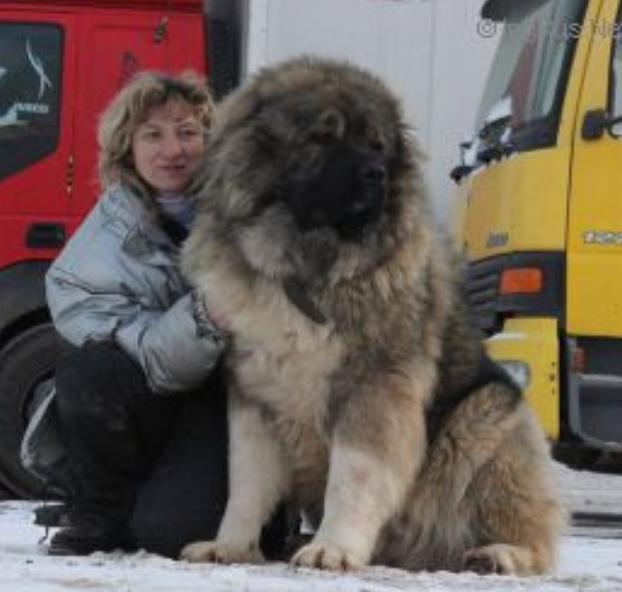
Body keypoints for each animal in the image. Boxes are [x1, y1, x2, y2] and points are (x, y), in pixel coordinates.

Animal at [179, 55, 564, 572]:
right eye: (323, 137)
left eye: (378, 145)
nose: (375, 173)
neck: (306, 271)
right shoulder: (255, 397)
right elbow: (247, 482)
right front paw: (230, 545)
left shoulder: (375, 391)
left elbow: (354, 474)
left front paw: (334, 548)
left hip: (486, 422)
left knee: (530, 534)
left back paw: (498, 554)